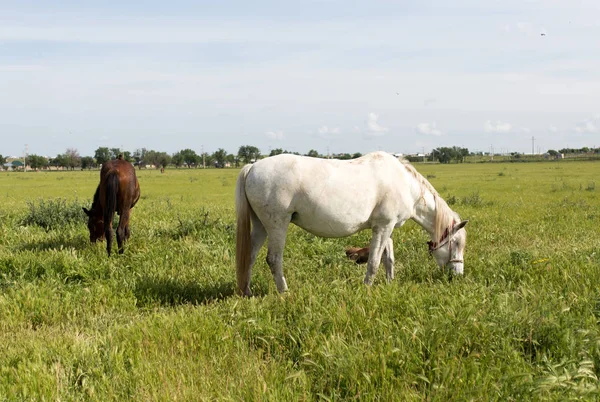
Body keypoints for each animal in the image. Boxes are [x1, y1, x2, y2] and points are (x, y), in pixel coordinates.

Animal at [236, 151, 468, 296]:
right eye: (456, 244)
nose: (458, 275)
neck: (405, 184)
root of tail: (252, 166)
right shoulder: (383, 227)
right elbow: (374, 261)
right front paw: (367, 289)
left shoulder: (386, 227)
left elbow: (388, 259)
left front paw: (389, 284)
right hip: (277, 225)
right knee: (274, 259)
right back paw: (284, 292)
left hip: (261, 226)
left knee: (250, 257)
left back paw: (247, 292)